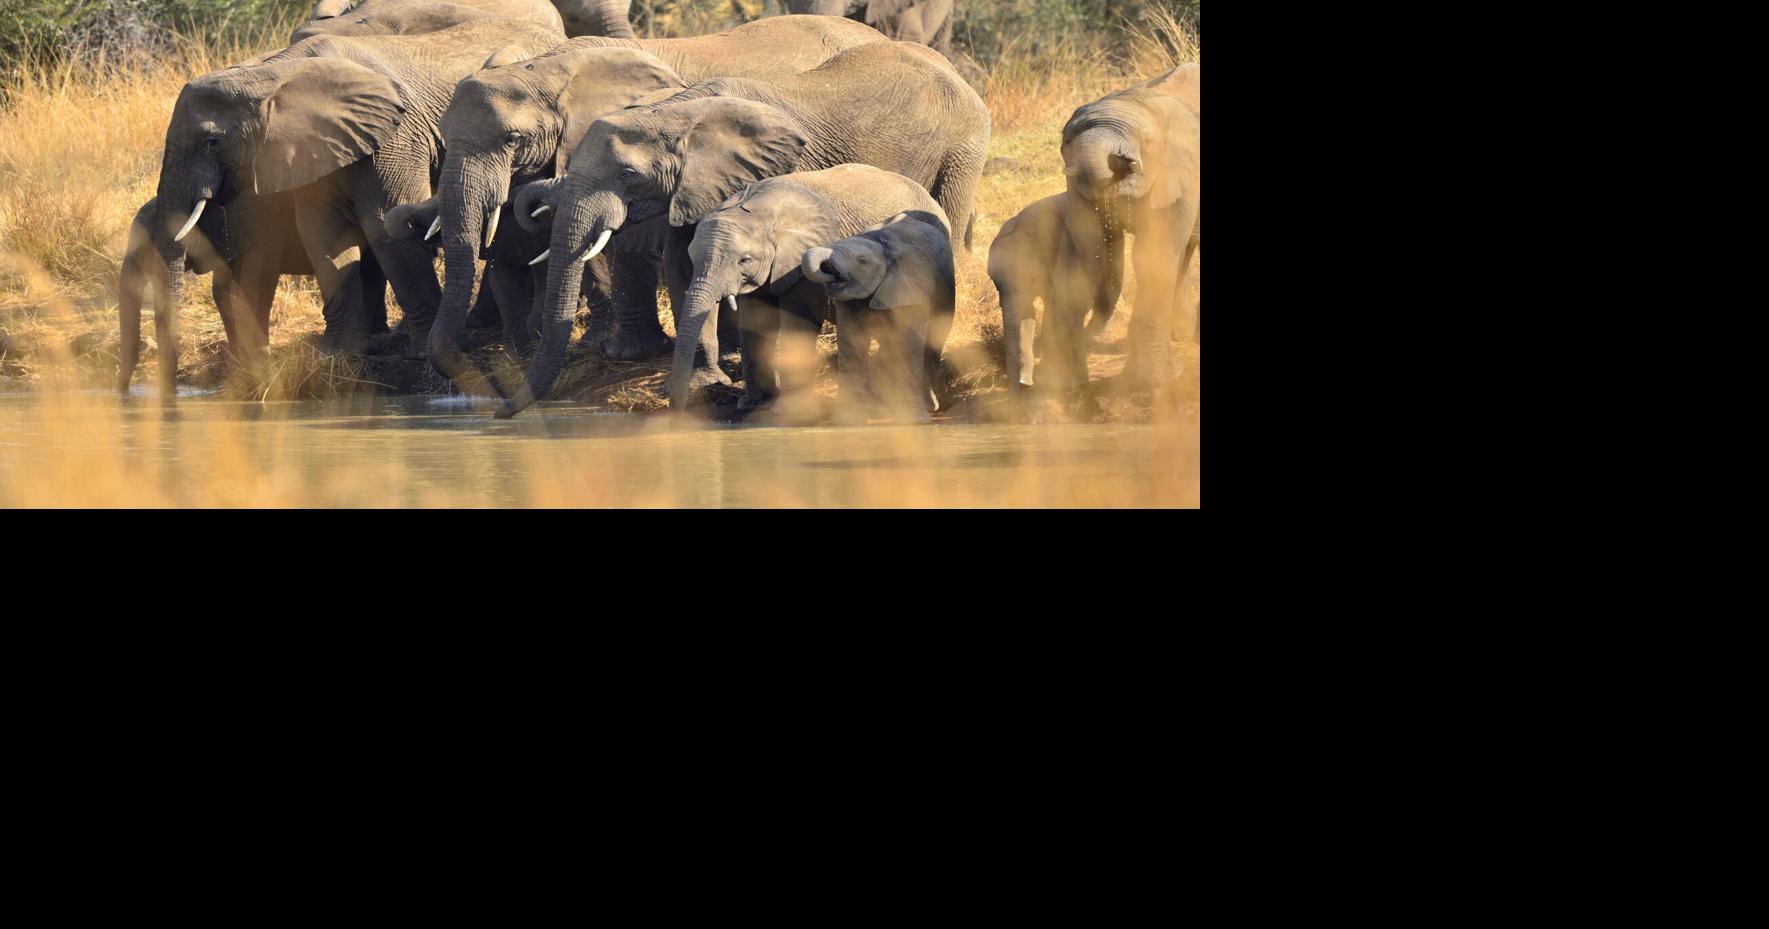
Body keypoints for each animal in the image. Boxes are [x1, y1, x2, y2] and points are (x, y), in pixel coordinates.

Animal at [117, 193, 387, 394]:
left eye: (148, 248)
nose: (121, 390)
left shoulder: (260, 232)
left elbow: (250, 285)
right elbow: (222, 292)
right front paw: (240, 367)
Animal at [501, 39, 989, 416]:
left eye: (627, 175)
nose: (502, 409)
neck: (675, 113)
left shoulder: (780, 168)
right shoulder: (692, 189)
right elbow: (683, 268)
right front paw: (703, 383)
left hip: (962, 150)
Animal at [1060, 62, 1200, 389]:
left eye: (1147, 144)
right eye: (1067, 140)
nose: (1121, 160)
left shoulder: (1180, 175)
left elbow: (1151, 256)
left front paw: (1153, 382)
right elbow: (1093, 250)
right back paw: (1182, 336)